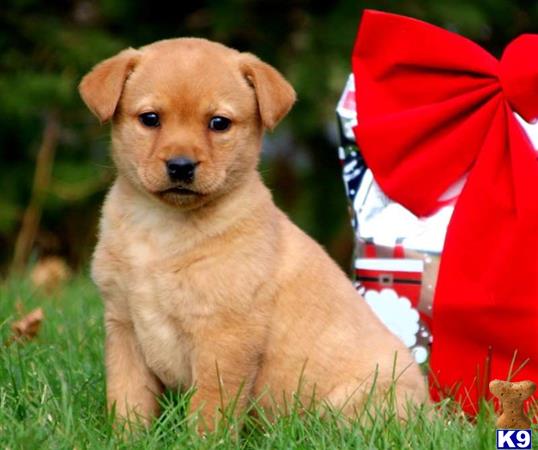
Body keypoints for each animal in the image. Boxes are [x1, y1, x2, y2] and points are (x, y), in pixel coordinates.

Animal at [78, 37, 428, 428]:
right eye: (150, 119)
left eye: (219, 123)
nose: (181, 166)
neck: (162, 230)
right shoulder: (123, 326)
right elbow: (128, 400)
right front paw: (127, 435)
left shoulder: (224, 337)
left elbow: (210, 409)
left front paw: (204, 439)